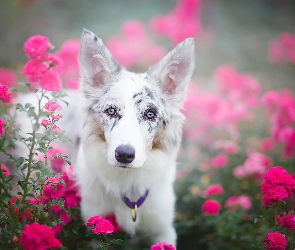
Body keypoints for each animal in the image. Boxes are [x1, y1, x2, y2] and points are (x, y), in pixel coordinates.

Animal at [74, 28, 197, 245]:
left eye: (150, 114)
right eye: (111, 110)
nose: (124, 154)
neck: (128, 182)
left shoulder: (164, 230)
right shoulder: (93, 228)